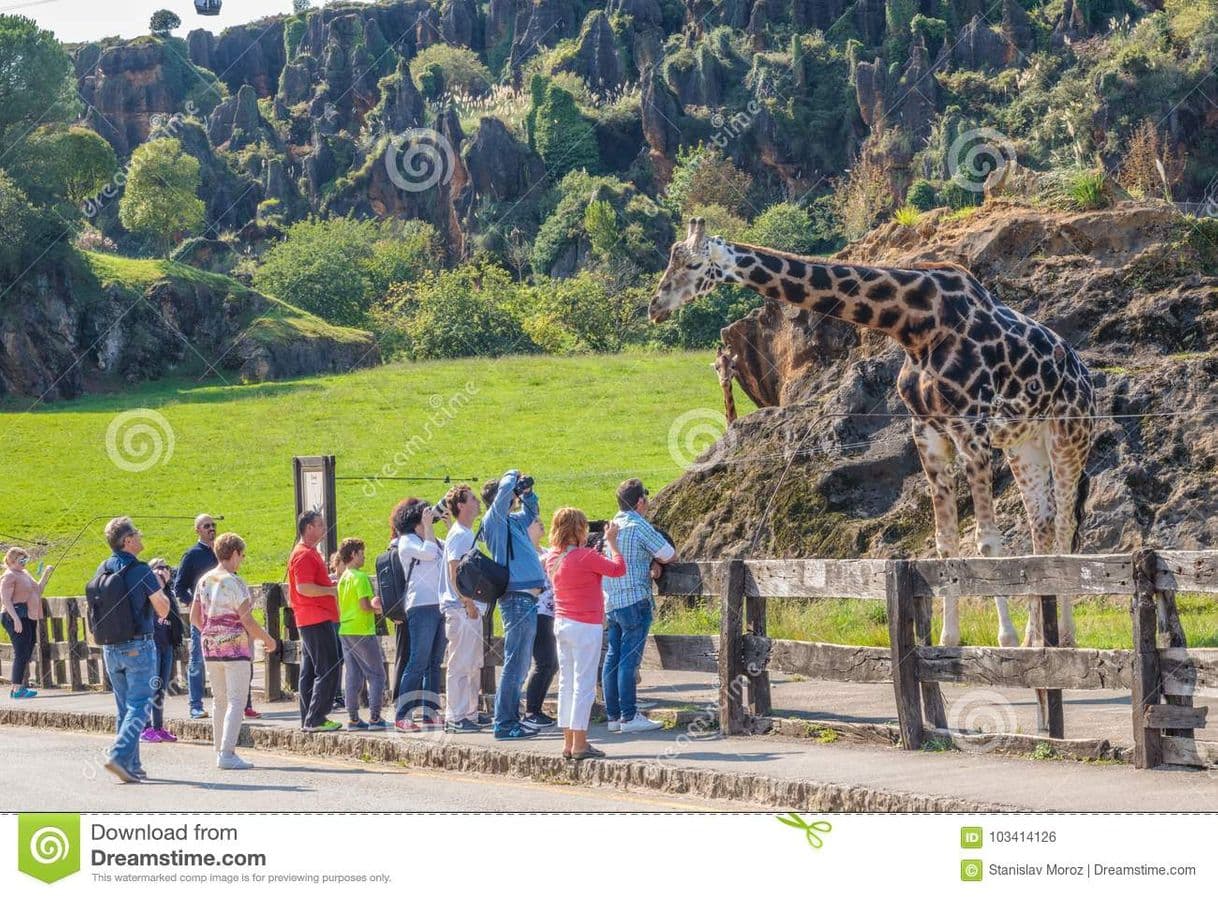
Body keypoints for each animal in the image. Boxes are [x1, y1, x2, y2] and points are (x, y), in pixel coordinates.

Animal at [652, 220, 1101, 648]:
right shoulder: (929, 433)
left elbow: (987, 542)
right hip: (1024, 445)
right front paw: (949, 639)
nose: (656, 306)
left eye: (693, 264)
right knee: (1041, 526)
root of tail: (1084, 371)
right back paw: (1037, 638)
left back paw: (1065, 637)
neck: (914, 327)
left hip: (1069, 434)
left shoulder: (970, 429)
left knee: (1064, 527)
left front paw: (1003, 640)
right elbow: (946, 542)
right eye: (671, 261)